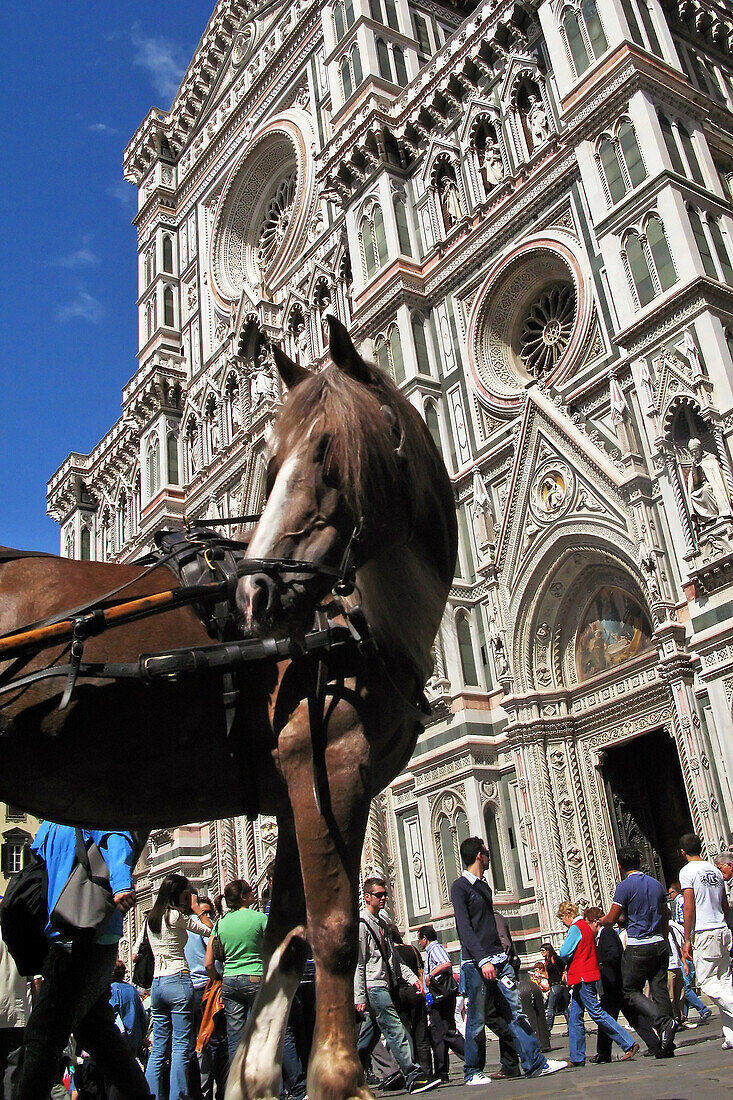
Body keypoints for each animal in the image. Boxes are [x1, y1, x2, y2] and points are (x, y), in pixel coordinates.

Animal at [0, 314, 453, 1095]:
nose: (253, 596)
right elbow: (332, 931)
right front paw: (337, 1075)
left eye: (331, 452)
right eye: (269, 468)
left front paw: (255, 1076)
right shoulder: (329, 763)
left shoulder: (299, 787)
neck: (364, 611)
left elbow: (284, 939)